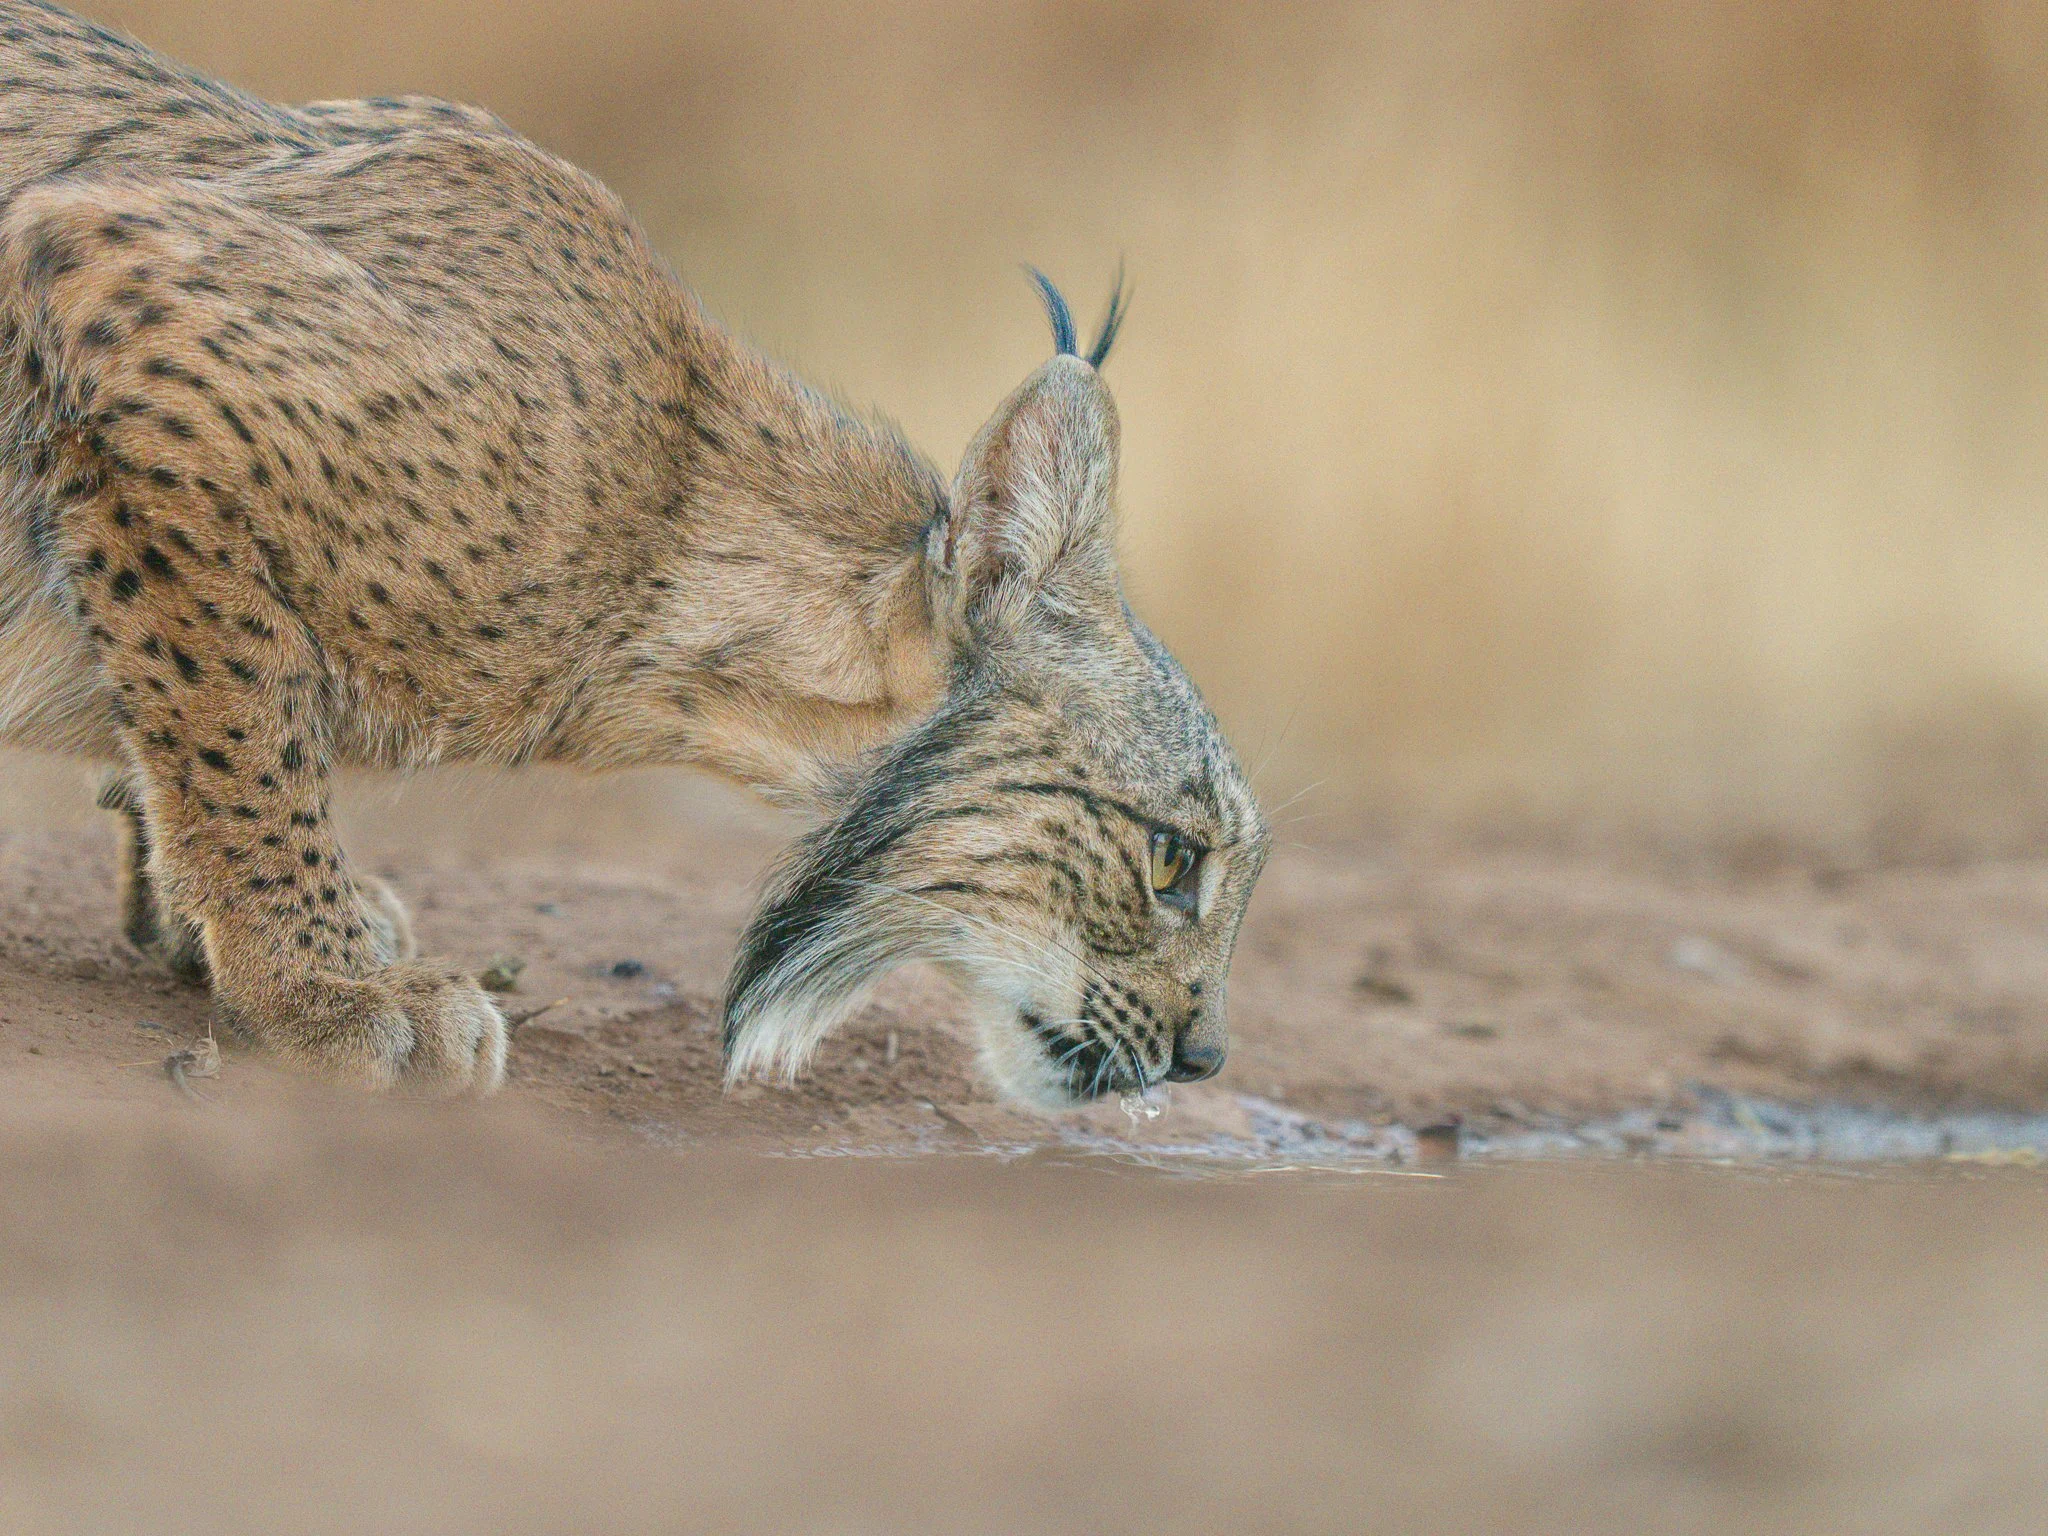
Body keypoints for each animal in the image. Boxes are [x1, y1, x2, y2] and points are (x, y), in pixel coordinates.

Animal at [0, 0, 1268, 1109]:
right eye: (1171, 861)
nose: (1203, 1058)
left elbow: (199, 731)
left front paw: (239, 933)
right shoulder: (133, 299)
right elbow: (244, 742)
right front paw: (318, 991)